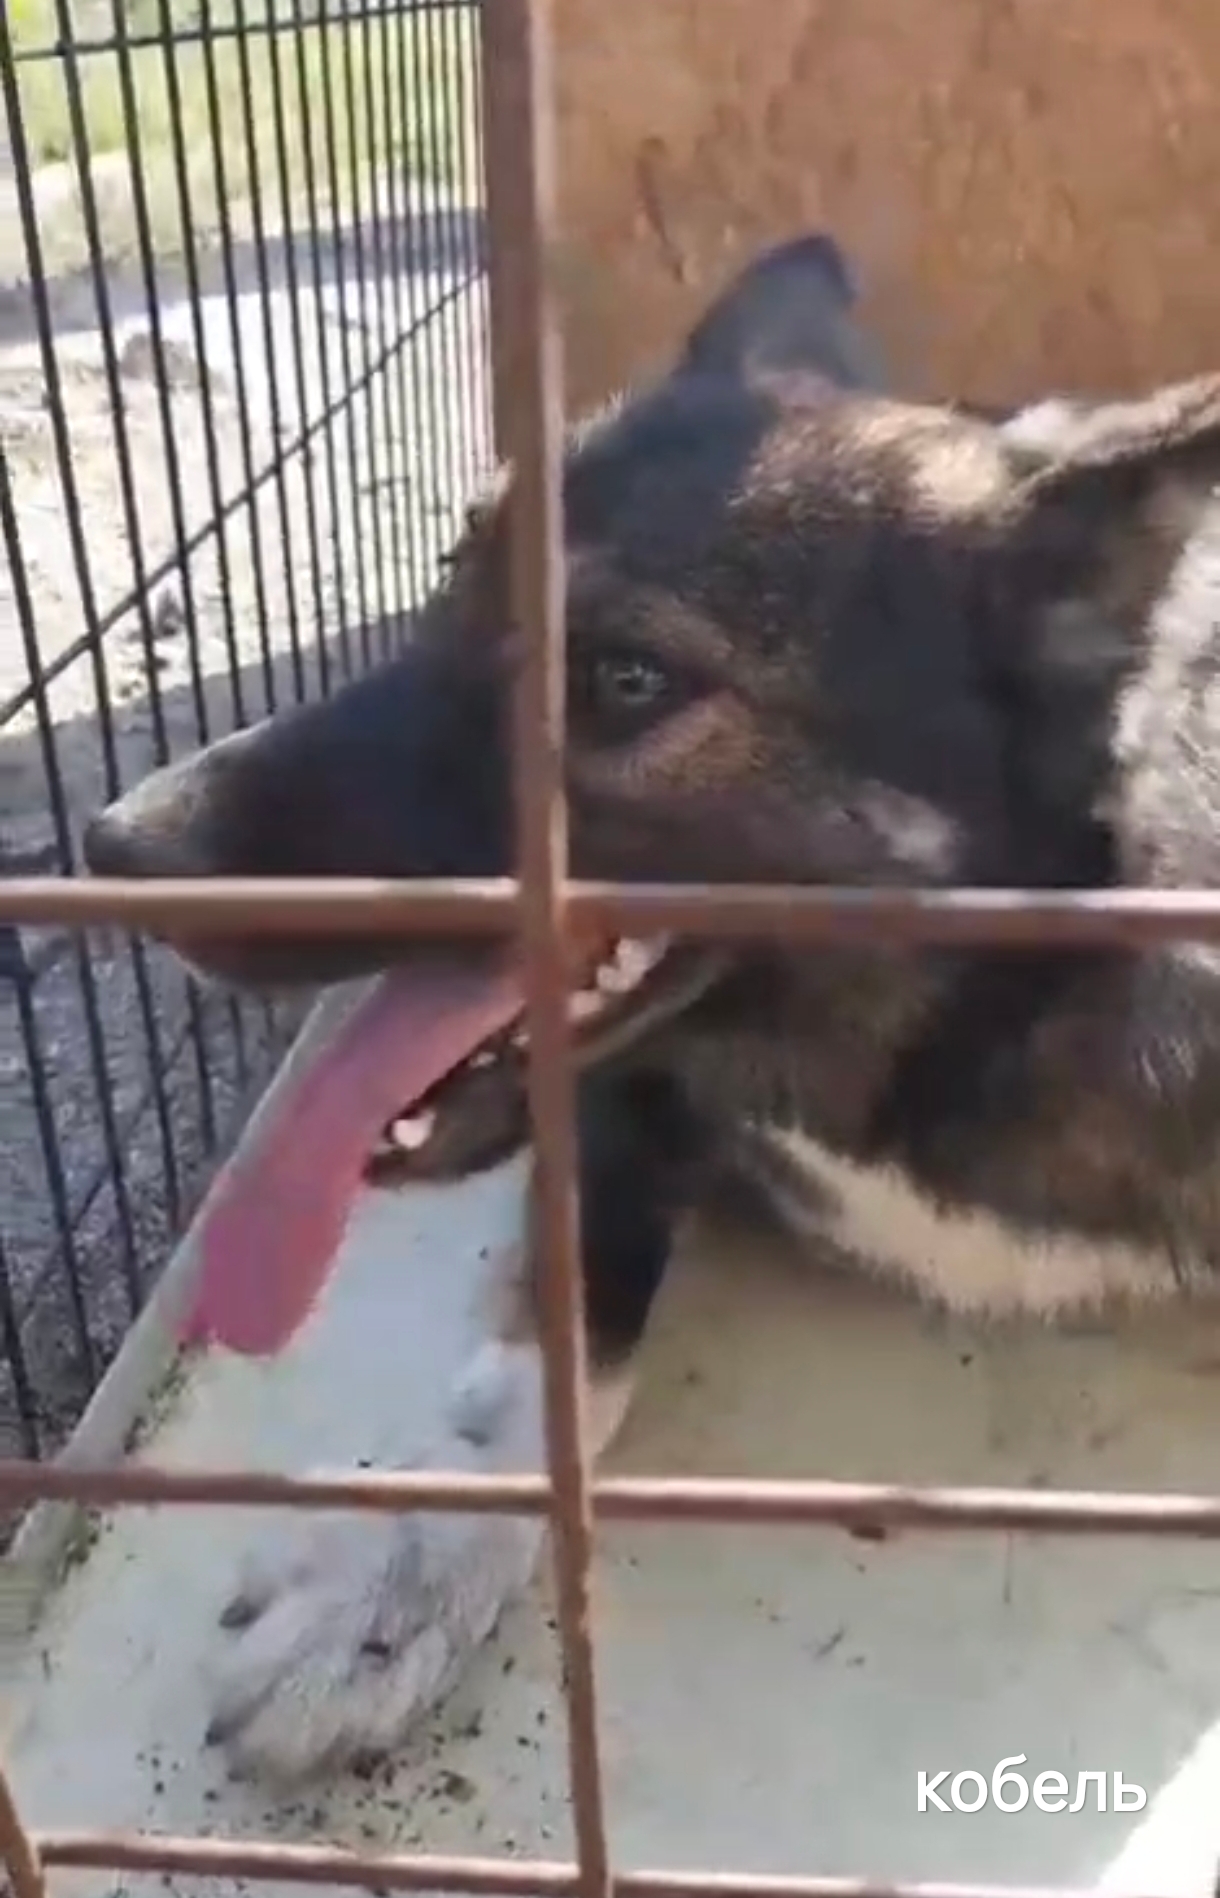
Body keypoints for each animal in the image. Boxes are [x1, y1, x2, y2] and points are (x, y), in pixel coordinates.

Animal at [84, 230, 1220, 1784]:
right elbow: (551, 1363)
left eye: (625, 678)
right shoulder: (608, 1103)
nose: (111, 845)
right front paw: (393, 1582)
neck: (941, 1019)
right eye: (453, 584)